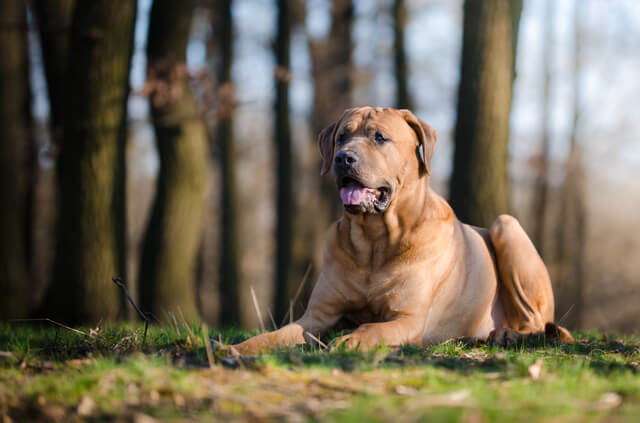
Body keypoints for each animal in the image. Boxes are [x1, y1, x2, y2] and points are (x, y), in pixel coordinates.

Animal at [232, 107, 572, 354]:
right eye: (341, 137)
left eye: (380, 137)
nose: (343, 158)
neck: (373, 242)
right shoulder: (317, 316)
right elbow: (281, 332)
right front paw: (240, 347)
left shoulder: (408, 319)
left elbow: (374, 328)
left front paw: (351, 339)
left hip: (506, 225)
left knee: (537, 322)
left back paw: (508, 335)